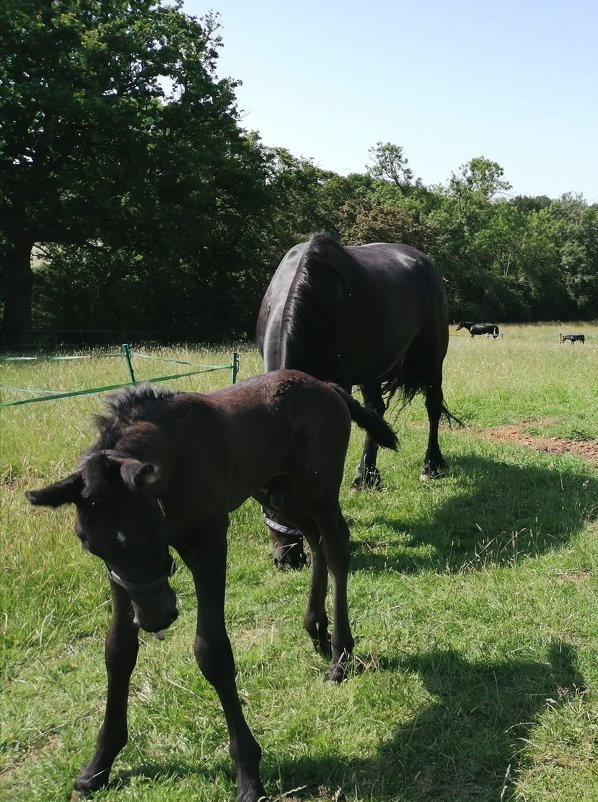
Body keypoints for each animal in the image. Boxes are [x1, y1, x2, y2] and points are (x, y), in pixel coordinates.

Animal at [258, 233, 460, 568]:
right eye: (264, 498)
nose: (288, 558)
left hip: (432, 357)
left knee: (433, 407)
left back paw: (431, 464)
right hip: (372, 369)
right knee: (375, 410)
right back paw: (367, 475)